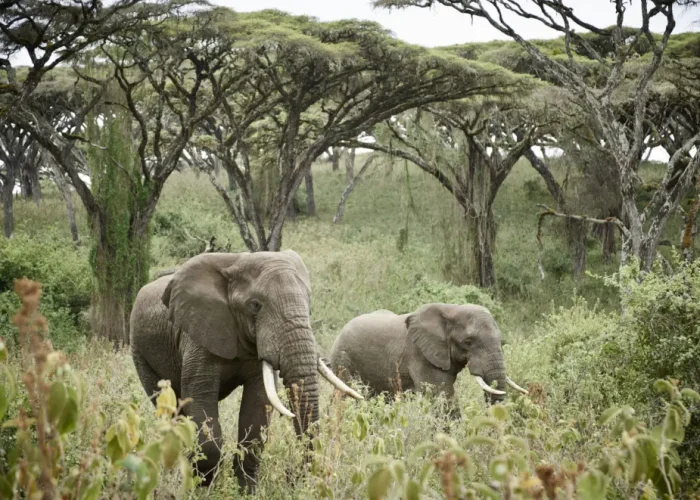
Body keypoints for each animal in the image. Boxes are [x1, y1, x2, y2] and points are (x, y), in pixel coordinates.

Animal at [130, 250, 360, 492]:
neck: (237, 262)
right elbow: (200, 401)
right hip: (140, 350)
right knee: (169, 407)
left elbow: (258, 408)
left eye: (309, 304)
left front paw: (245, 491)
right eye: (255, 305)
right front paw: (205, 488)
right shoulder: (197, 334)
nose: (292, 477)